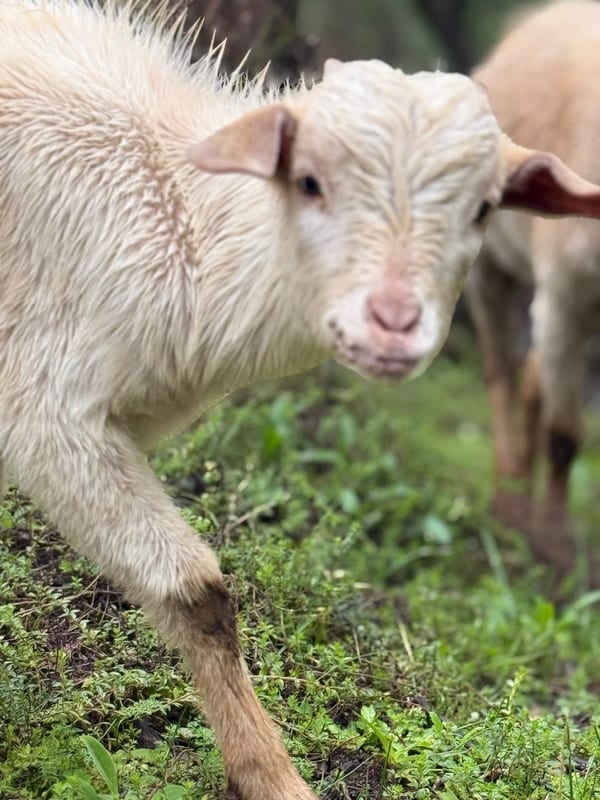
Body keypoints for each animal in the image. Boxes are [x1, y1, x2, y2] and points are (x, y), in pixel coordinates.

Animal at [1, 1, 600, 797]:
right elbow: (195, 592)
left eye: (482, 209)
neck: (180, 218)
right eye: (310, 181)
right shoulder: (47, 410)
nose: (393, 324)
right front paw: (274, 778)